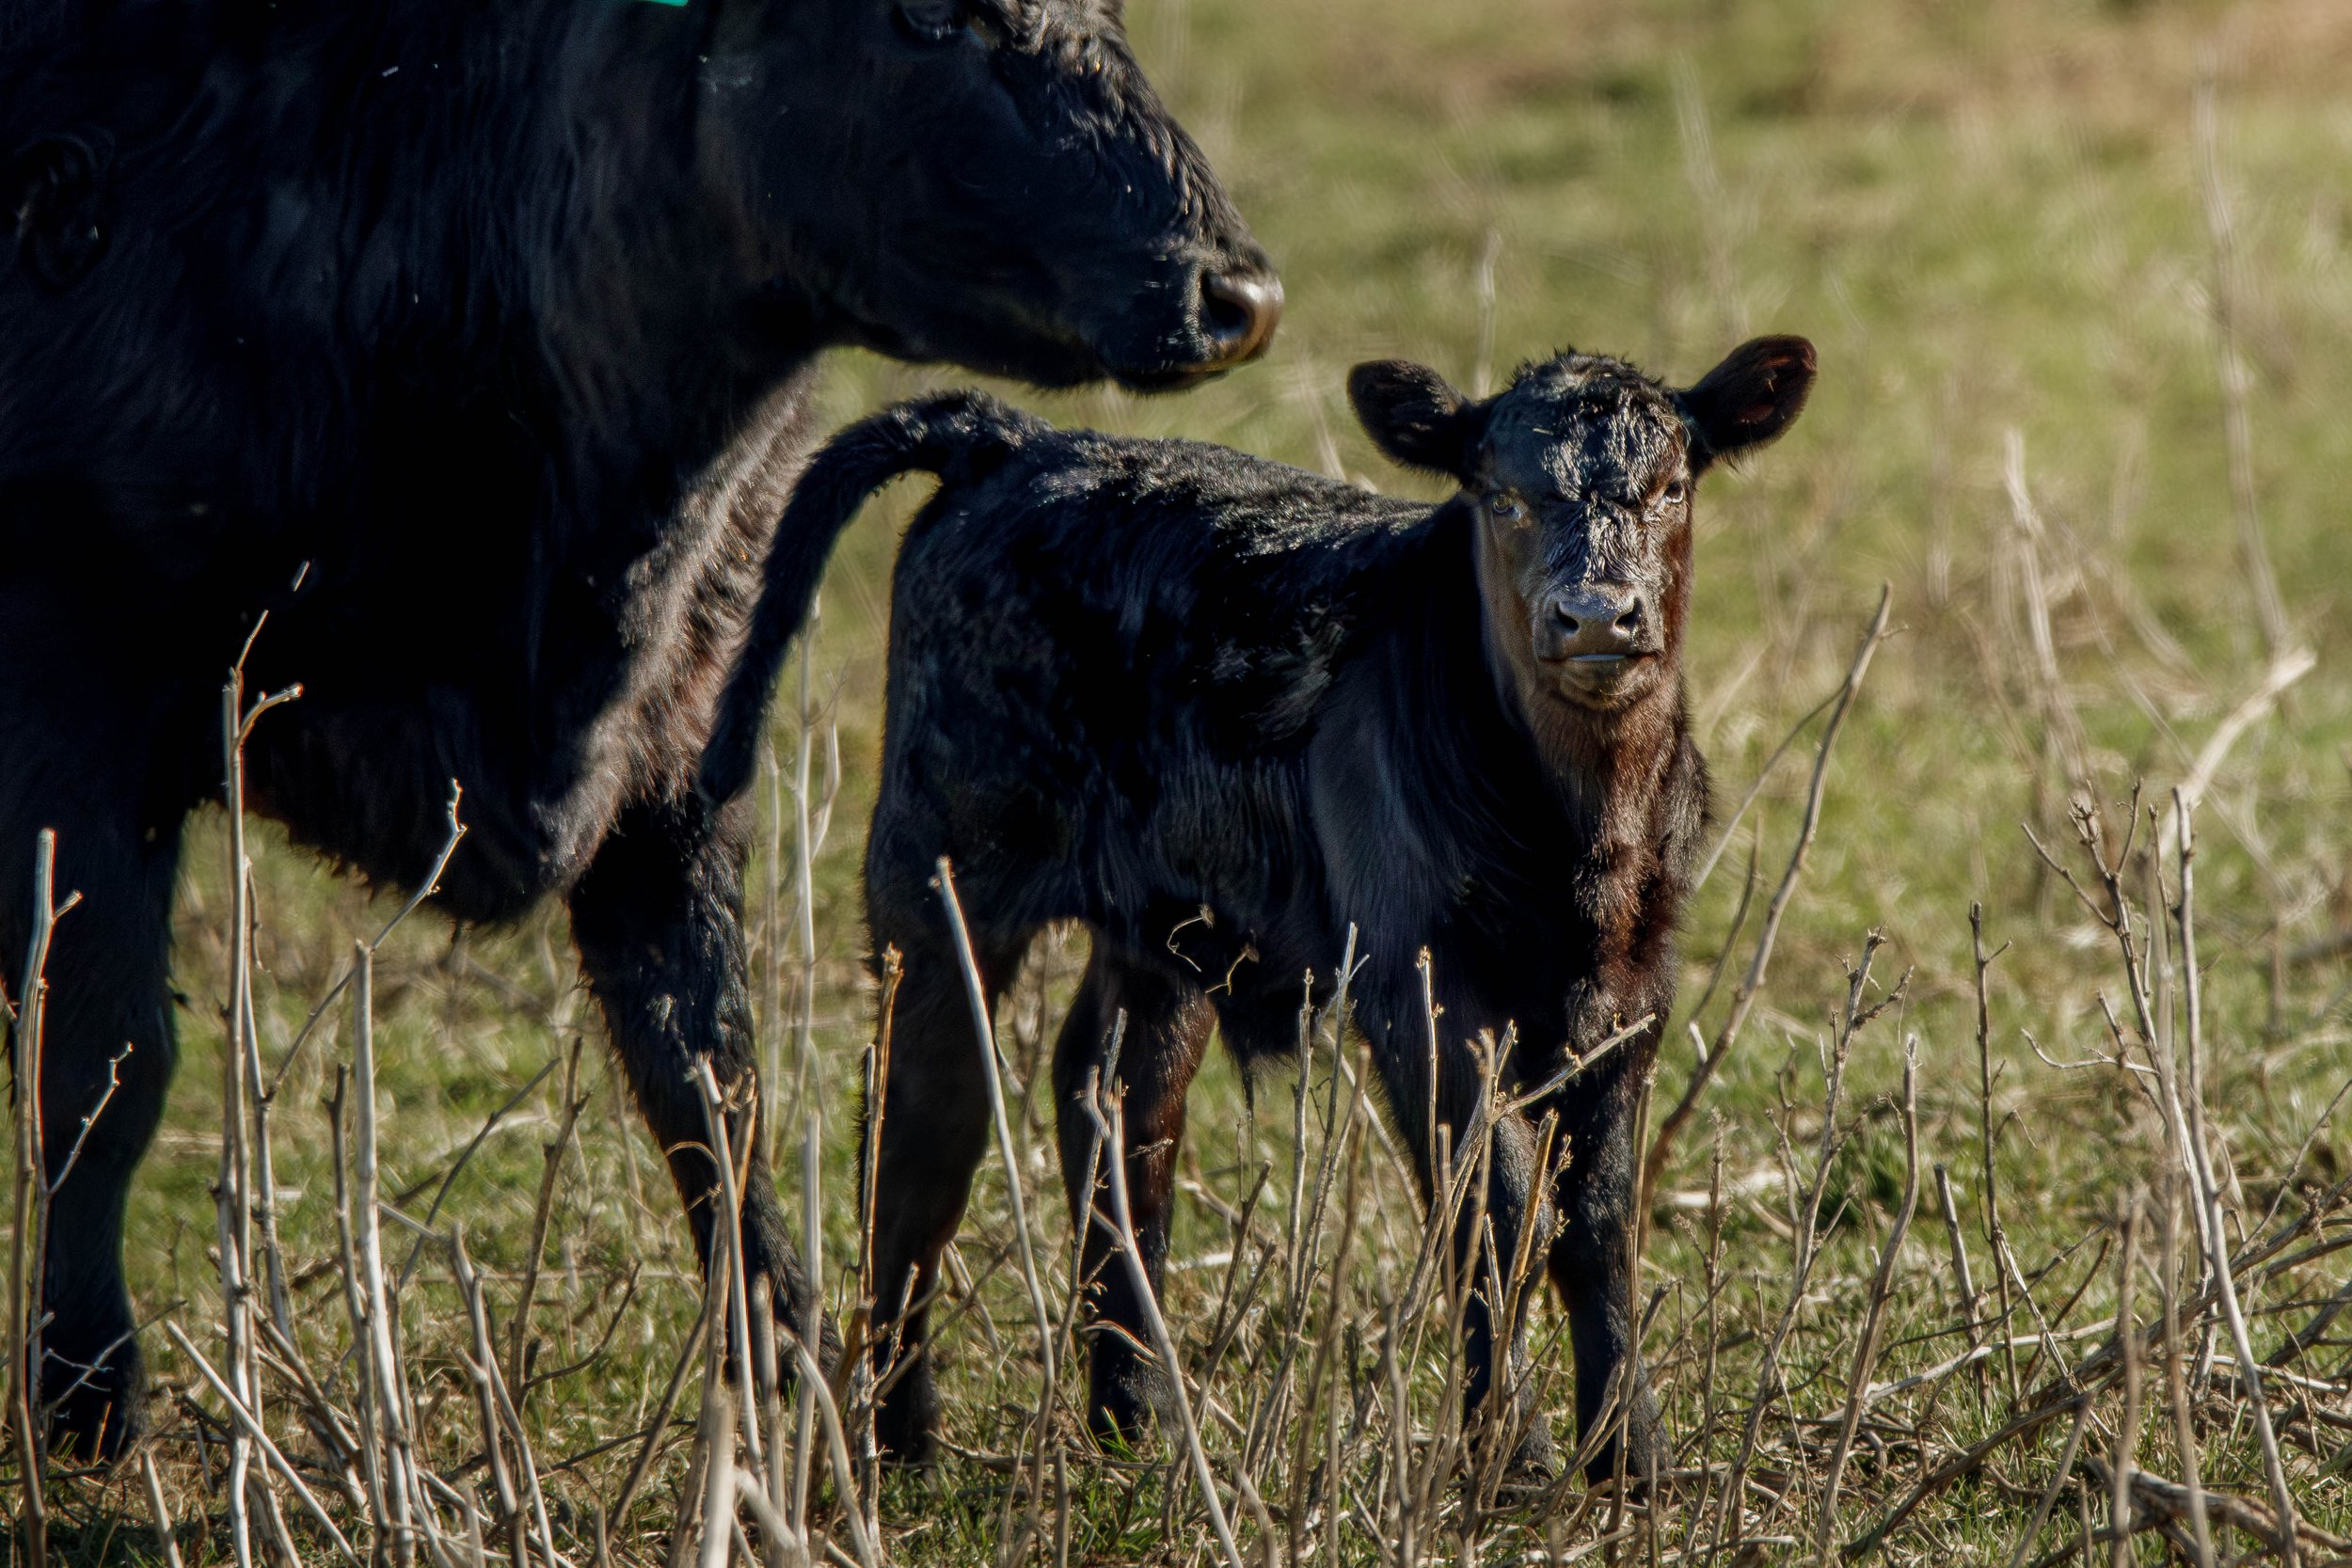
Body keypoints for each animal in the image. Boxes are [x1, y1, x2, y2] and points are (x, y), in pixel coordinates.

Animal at [1, 0, 1277, 1459]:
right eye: (927, 22)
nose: (1234, 297)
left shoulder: (674, 759)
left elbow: (709, 1073)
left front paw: (785, 1358)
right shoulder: (72, 703)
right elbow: (102, 1059)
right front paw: (87, 1391)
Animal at [701, 336, 1817, 1477]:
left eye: (1672, 486)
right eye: (1501, 495)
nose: (1595, 614)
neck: (1581, 832)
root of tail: (1016, 441)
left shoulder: (1636, 978)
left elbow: (1598, 1217)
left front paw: (1631, 1453)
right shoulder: (1416, 982)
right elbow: (1495, 1208)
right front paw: (1513, 1456)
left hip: (1164, 920)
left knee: (1115, 1099)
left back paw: (1136, 1408)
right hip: (937, 877)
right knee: (923, 1125)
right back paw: (902, 1437)